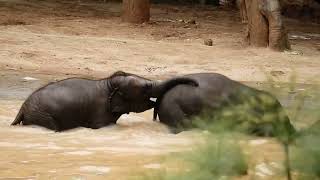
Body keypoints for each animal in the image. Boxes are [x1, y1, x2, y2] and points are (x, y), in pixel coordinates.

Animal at [10, 71, 198, 131]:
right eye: (145, 88)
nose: (195, 84)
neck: (108, 82)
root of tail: (22, 108)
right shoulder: (99, 111)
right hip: (43, 115)